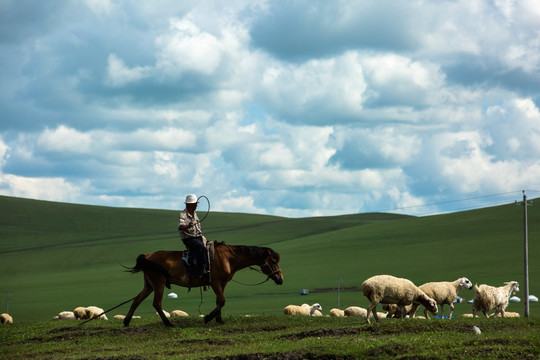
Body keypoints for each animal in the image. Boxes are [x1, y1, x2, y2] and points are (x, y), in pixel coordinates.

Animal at [122, 240, 282, 328]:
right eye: (273, 261)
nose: (280, 279)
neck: (228, 258)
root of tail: (147, 255)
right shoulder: (215, 282)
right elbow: (222, 300)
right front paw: (208, 318)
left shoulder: (222, 283)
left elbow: (219, 301)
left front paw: (219, 320)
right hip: (158, 284)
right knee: (157, 303)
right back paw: (168, 324)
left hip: (149, 285)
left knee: (137, 300)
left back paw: (126, 322)